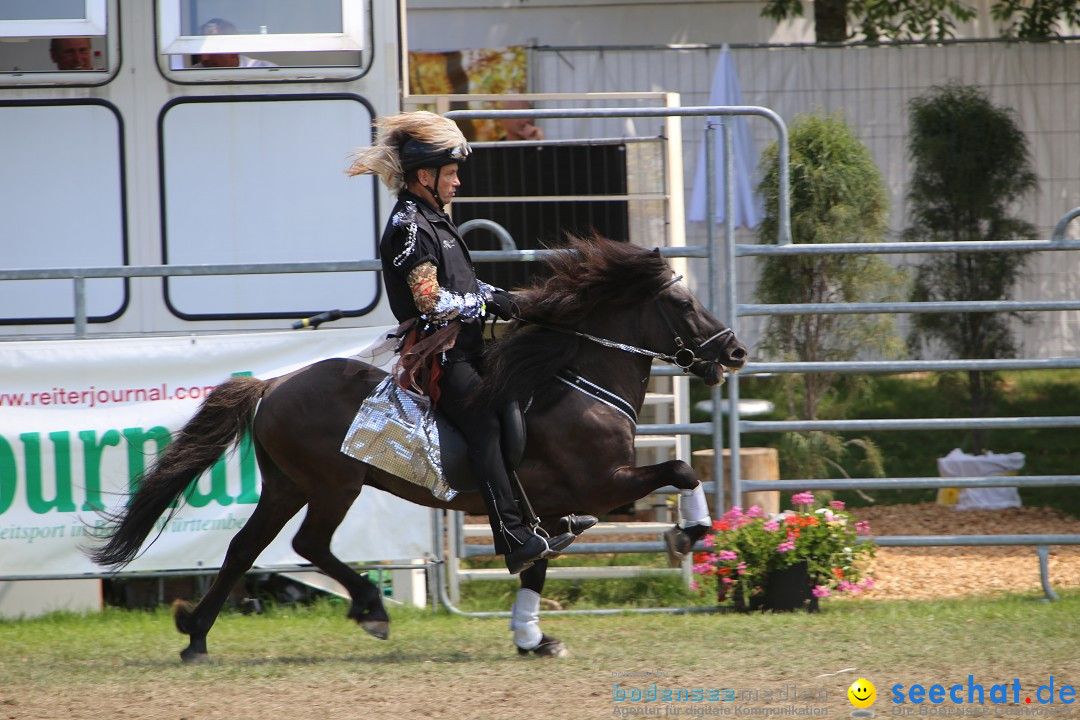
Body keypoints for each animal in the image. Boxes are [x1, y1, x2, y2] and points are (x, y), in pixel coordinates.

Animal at [88, 235, 747, 660]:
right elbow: (681, 468)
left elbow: (536, 564)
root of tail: (274, 384)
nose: (735, 352)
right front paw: (688, 533)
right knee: (307, 545)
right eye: (683, 304)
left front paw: (532, 638)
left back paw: (197, 637)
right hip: (334, 485)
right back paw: (369, 610)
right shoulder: (600, 485)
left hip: (286, 486)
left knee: (243, 548)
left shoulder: (555, 508)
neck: (575, 383)